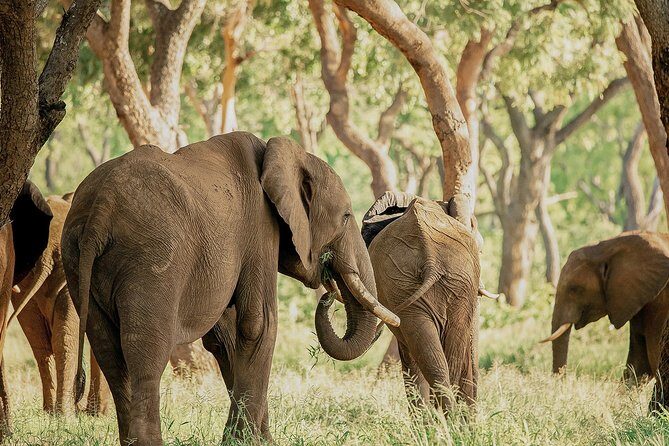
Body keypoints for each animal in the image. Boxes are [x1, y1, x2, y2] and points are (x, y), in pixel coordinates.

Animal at [12, 194, 110, 415]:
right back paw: (65, 415)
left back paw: (53, 412)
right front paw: (97, 415)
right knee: (58, 340)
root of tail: (48, 253)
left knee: (41, 343)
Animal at [61, 132, 399, 445]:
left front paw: (260, 440)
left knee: (110, 354)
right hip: (150, 260)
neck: (282, 153)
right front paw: (244, 441)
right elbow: (258, 324)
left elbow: (224, 337)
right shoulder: (260, 227)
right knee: (145, 354)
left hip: (76, 260)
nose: (329, 293)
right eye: (346, 216)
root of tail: (101, 209)